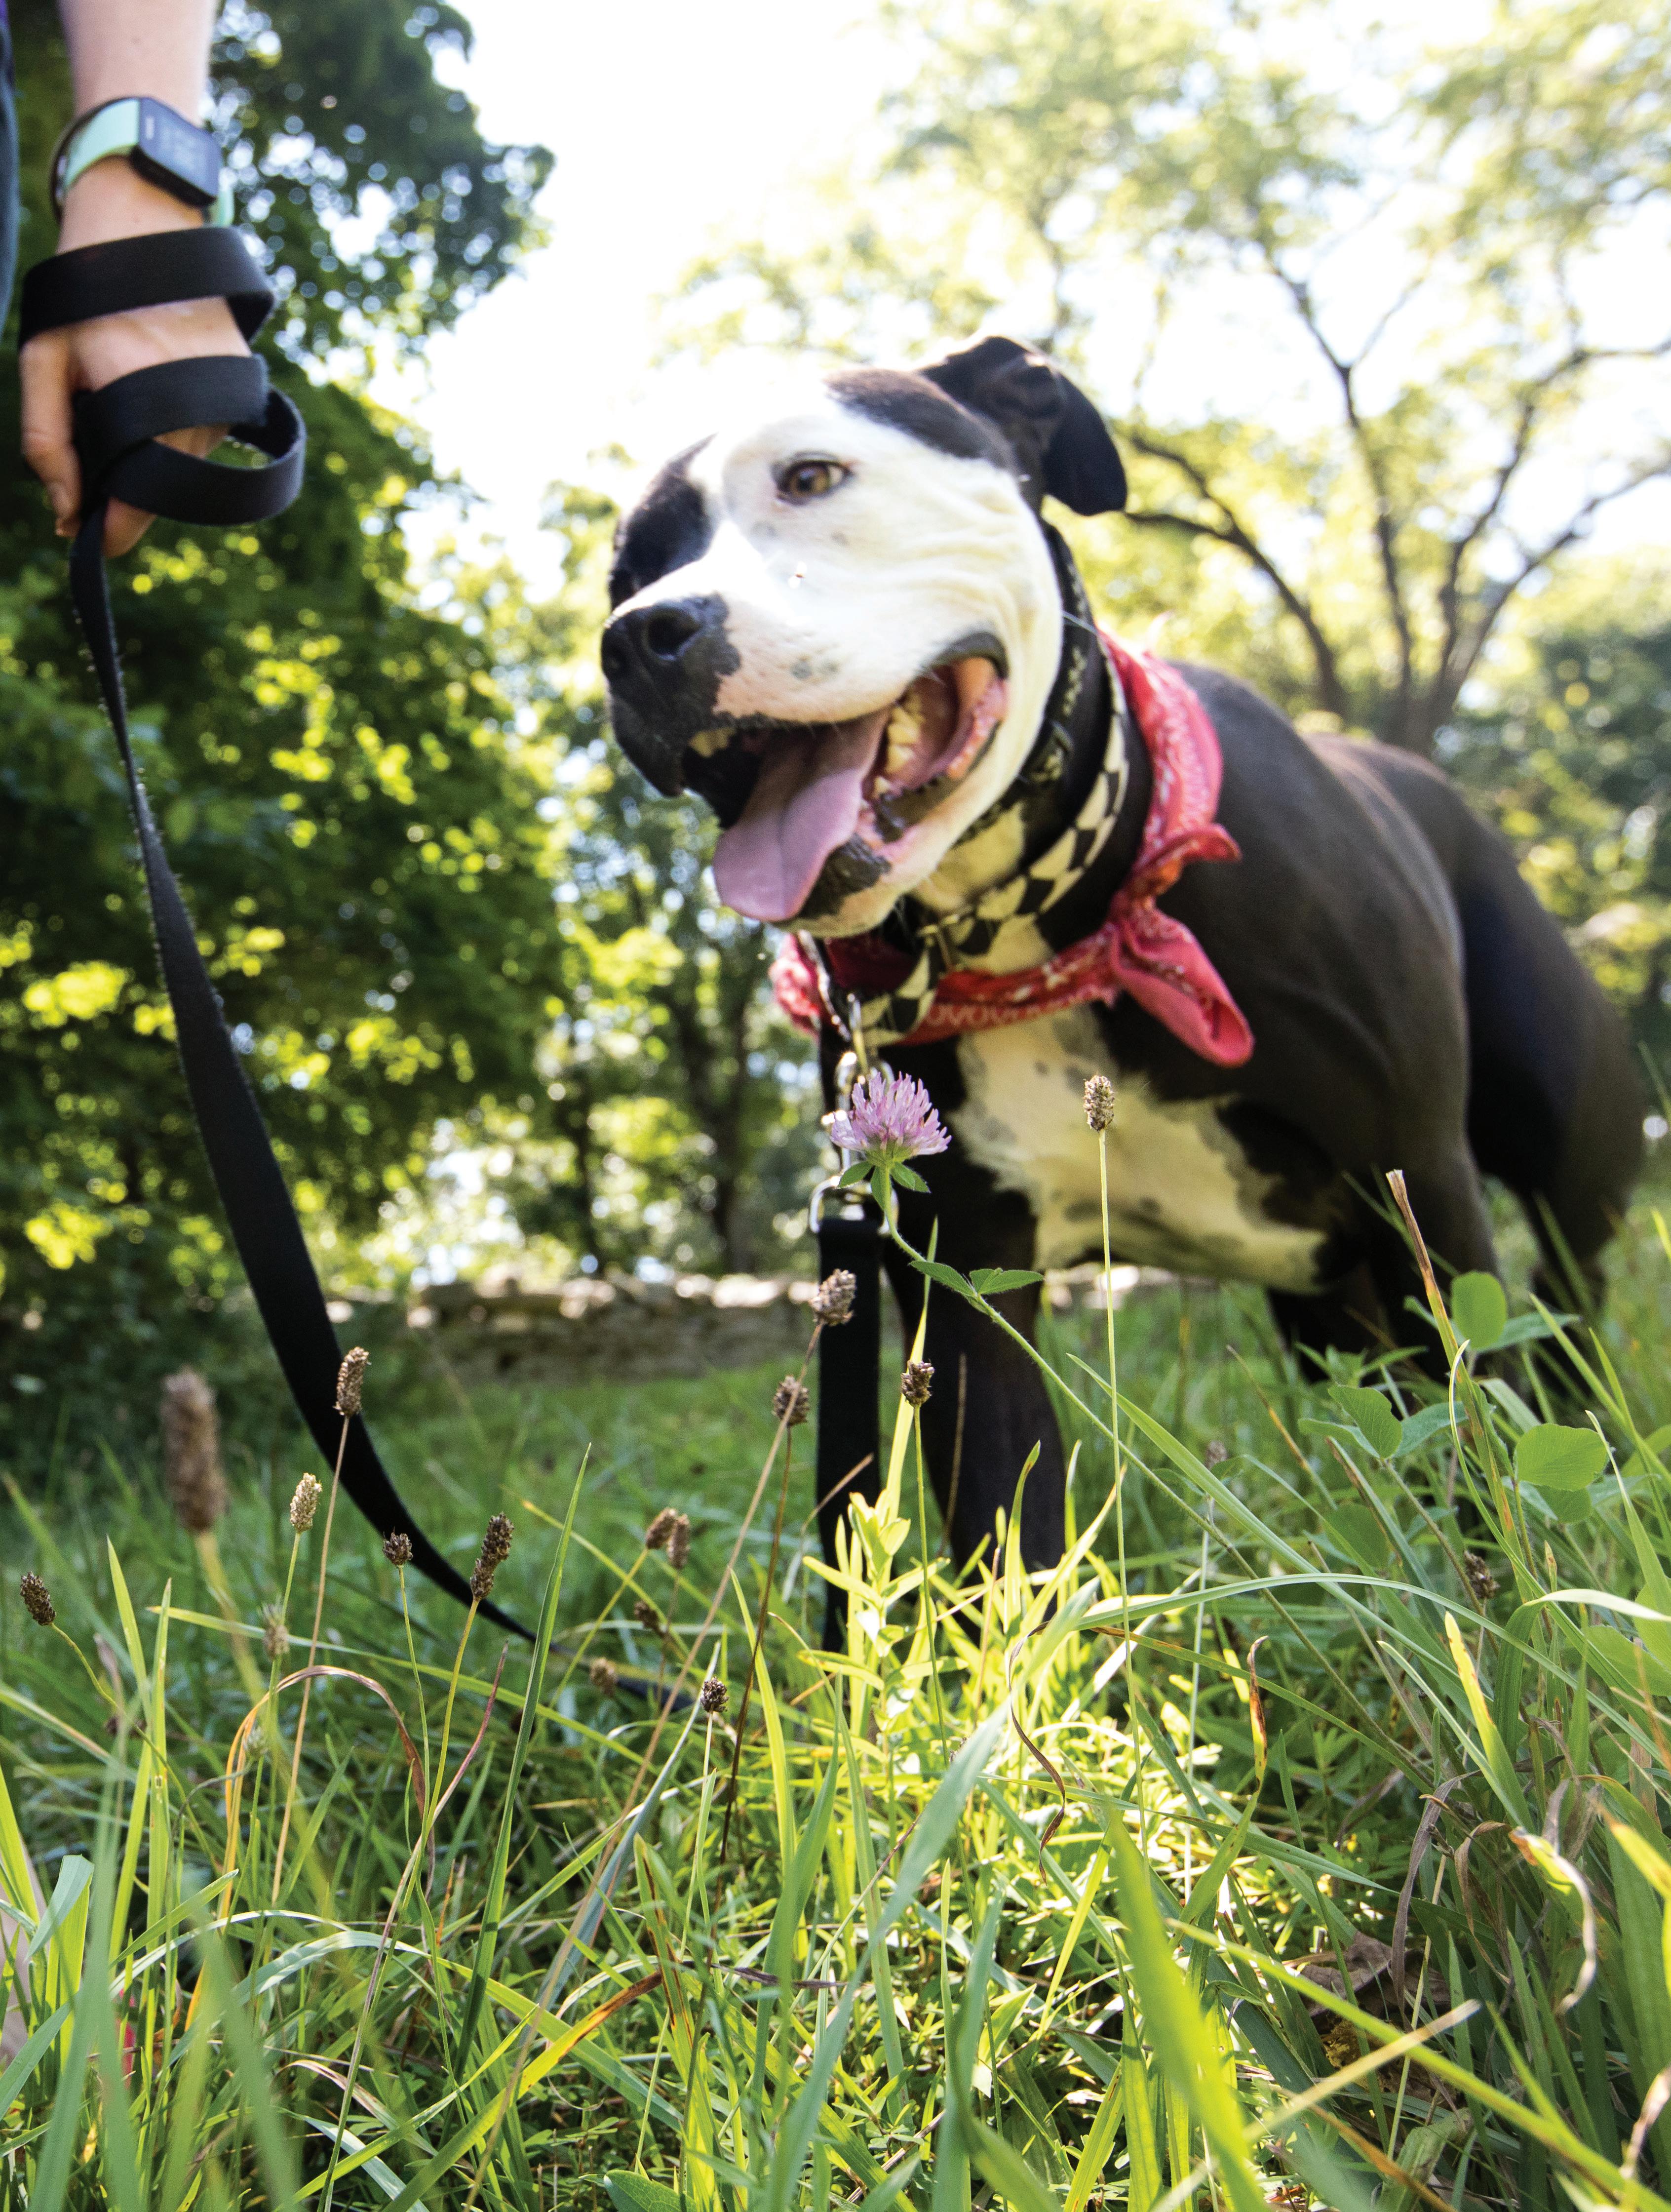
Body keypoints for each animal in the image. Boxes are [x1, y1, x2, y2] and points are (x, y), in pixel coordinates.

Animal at [600, 334, 1641, 1628]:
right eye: (624, 569)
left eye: (810, 476)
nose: (640, 636)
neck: (1056, 924)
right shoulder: (968, 1278)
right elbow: (1006, 1527)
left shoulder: (1424, 1186)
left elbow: (1481, 1426)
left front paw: (1506, 1622)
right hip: (1326, 1298)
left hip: (1558, 1166)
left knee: (1557, 1322)